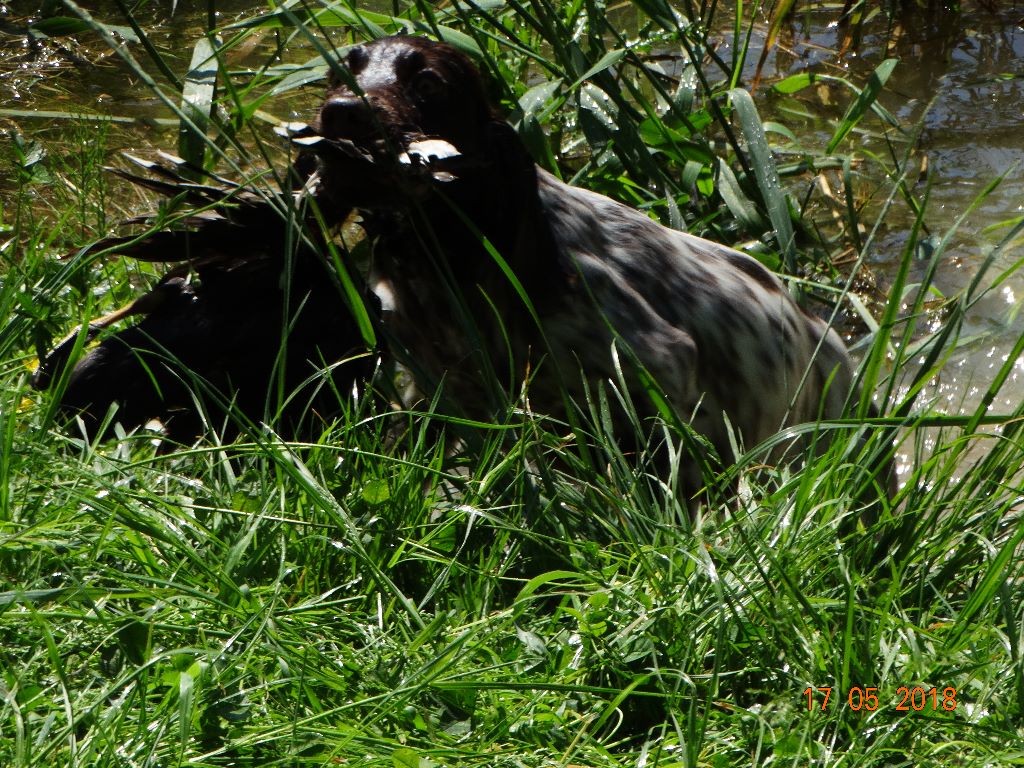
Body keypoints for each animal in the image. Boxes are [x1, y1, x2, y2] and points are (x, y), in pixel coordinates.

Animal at [305, 34, 880, 493]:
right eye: (341, 71)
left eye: (426, 83)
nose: (340, 112)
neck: (447, 255)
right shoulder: (436, 387)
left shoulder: (657, 364)